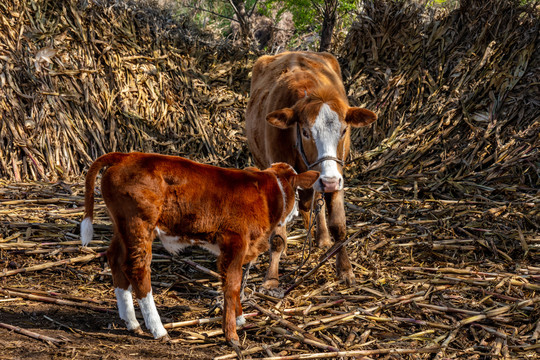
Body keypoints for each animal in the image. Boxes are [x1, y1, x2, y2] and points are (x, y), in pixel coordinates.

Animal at [78, 150, 318, 350]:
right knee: (137, 268)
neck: (266, 193)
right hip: (138, 224)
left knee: (115, 258)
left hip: (122, 227)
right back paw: (158, 329)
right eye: (298, 191)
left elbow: (236, 283)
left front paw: (239, 318)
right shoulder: (234, 241)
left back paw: (131, 322)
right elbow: (232, 284)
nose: (298, 213)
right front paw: (231, 335)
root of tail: (126, 156)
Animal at [247, 50, 378, 292]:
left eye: (344, 130)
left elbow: (338, 225)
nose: (329, 181)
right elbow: (277, 237)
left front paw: (345, 270)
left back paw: (322, 238)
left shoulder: (337, 173)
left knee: (316, 203)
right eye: (306, 132)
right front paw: (271, 278)